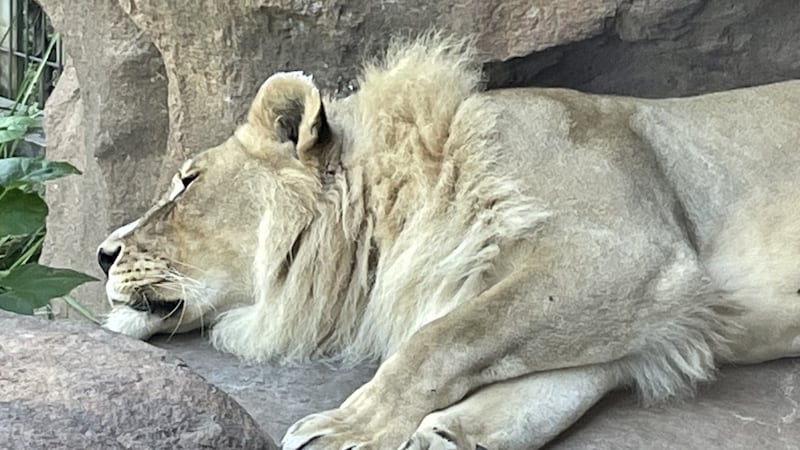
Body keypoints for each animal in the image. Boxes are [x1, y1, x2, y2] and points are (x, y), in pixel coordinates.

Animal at [97, 35, 800, 449]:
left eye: (188, 181)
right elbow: (549, 383)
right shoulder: (656, 315)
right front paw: (454, 435)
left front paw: (349, 428)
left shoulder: (634, 256)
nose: (103, 253)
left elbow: (439, 341)